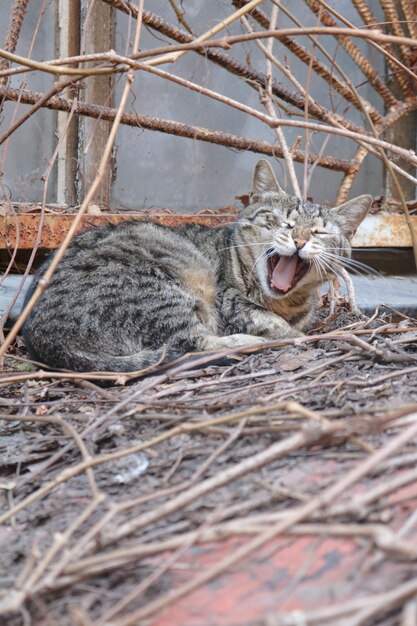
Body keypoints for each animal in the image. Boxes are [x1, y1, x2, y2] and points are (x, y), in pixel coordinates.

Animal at [22, 160, 370, 370]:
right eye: (284, 222)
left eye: (319, 232)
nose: (299, 240)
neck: (287, 304)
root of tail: (45, 338)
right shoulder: (230, 301)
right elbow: (269, 322)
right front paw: (291, 334)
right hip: (158, 289)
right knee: (190, 344)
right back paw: (251, 344)